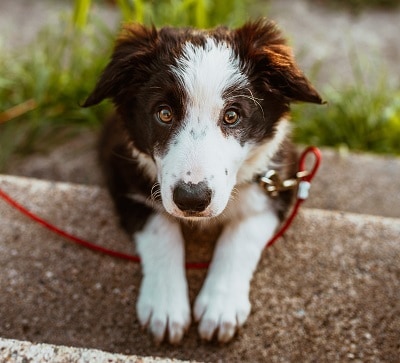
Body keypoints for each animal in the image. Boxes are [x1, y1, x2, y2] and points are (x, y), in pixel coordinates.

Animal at [83, 19, 324, 344]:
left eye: (232, 116)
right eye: (164, 113)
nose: (192, 199)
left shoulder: (278, 179)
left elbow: (241, 236)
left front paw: (220, 306)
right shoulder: (122, 173)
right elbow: (161, 229)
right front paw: (165, 307)